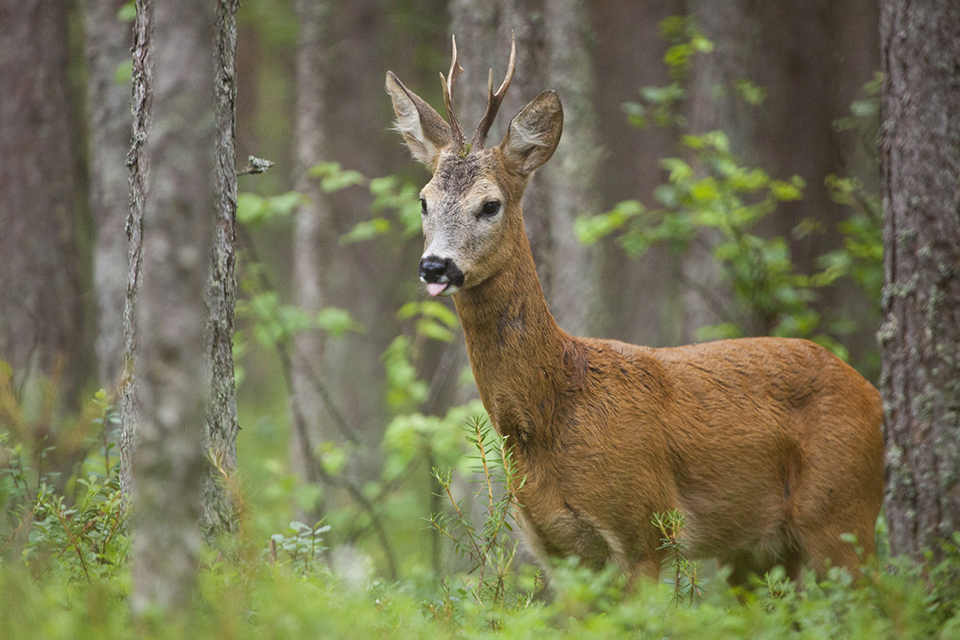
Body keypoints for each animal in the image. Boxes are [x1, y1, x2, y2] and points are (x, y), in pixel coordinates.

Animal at [385, 35, 885, 589]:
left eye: (490, 204)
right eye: (424, 200)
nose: (435, 265)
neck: (552, 410)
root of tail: (873, 396)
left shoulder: (643, 524)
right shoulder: (555, 547)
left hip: (842, 511)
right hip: (759, 552)